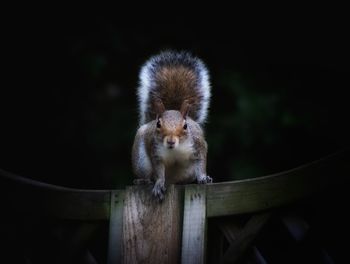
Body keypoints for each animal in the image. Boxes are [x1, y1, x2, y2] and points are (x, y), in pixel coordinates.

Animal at [132, 50, 212, 200]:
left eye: (185, 126)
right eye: (158, 124)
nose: (170, 141)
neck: (176, 149)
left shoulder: (198, 145)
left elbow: (201, 162)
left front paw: (203, 177)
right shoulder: (156, 151)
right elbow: (159, 171)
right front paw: (158, 184)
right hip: (141, 162)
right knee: (148, 175)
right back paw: (143, 181)